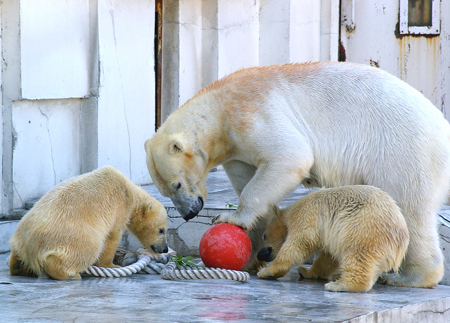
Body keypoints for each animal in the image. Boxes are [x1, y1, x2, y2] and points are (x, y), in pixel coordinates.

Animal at [145, 62, 450, 288]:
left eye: (177, 184)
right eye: (166, 190)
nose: (189, 213)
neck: (220, 109)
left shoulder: (253, 111)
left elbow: (289, 156)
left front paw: (230, 218)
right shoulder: (237, 150)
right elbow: (251, 182)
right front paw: (253, 254)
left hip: (402, 150)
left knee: (410, 208)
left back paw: (409, 277)